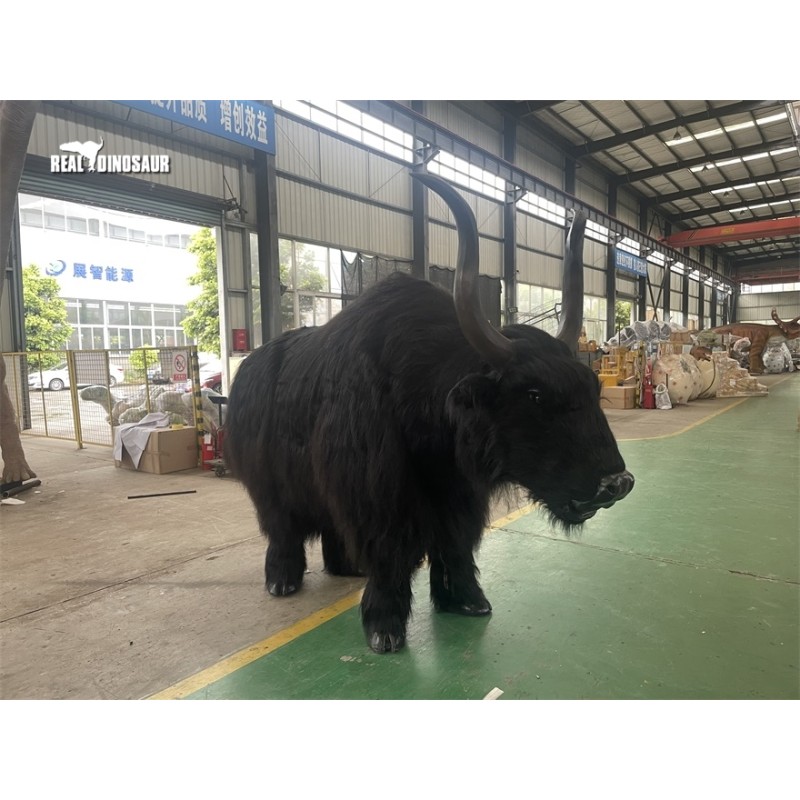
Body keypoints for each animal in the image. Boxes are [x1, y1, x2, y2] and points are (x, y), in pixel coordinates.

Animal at [224, 172, 634, 653]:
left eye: (592, 387)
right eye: (533, 395)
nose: (616, 483)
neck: (425, 403)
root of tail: (249, 366)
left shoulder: (457, 495)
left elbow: (455, 544)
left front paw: (469, 600)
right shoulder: (376, 494)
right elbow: (389, 551)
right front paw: (384, 627)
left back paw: (347, 568)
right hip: (269, 487)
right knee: (282, 530)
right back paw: (283, 581)